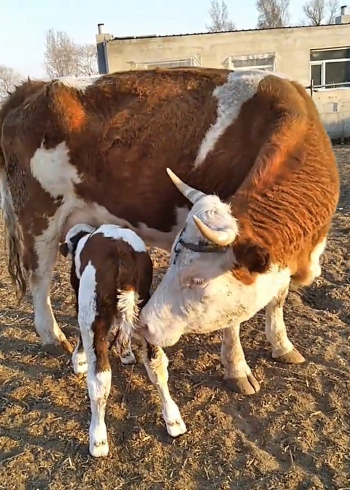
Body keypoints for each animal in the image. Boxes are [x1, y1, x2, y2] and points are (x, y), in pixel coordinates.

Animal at [0, 68, 340, 398]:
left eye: (197, 280)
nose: (146, 326)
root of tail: (34, 87)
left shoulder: (283, 252)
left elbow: (277, 297)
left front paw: (282, 345)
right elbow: (233, 319)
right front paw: (237, 369)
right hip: (39, 218)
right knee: (39, 278)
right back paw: (52, 335)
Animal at [59, 224, 187, 458]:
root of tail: (122, 255)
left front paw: (79, 360)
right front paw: (126, 352)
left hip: (92, 316)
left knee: (100, 378)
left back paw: (98, 440)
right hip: (145, 307)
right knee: (156, 363)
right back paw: (173, 420)